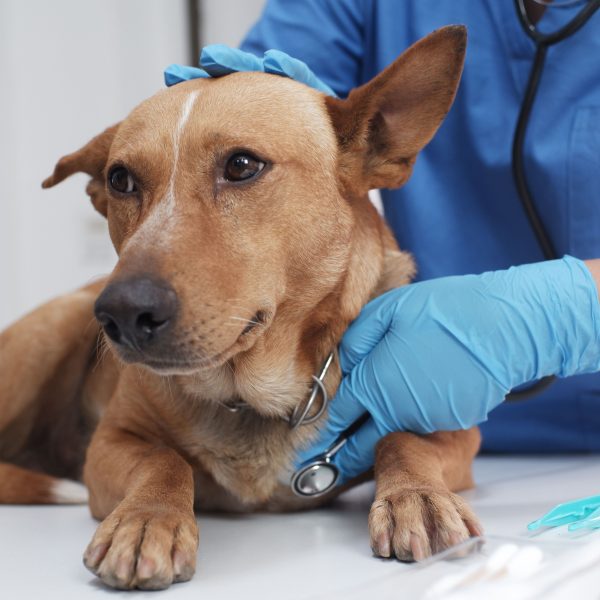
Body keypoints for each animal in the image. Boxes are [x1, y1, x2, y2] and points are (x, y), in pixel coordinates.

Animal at [0, 25, 480, 588]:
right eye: (120, 180)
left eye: (242, 165)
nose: (120, 313)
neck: (247, 392)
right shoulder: (109, 445)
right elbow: (163, 460)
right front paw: (146, 519)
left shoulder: (457, 433)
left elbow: (404, 441)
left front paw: (416, 497)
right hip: (49, 331)